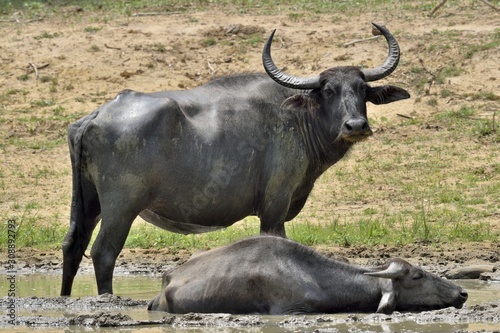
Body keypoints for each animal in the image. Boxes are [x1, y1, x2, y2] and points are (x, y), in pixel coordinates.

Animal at [60, 22, 410, 294]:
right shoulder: (274, 210)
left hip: (88, 203)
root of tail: (97, 115)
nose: (356, 125)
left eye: (361, 88)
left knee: (72, 246)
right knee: (104, 253)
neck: (298, 119)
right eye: (327, 90)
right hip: (121, 207)